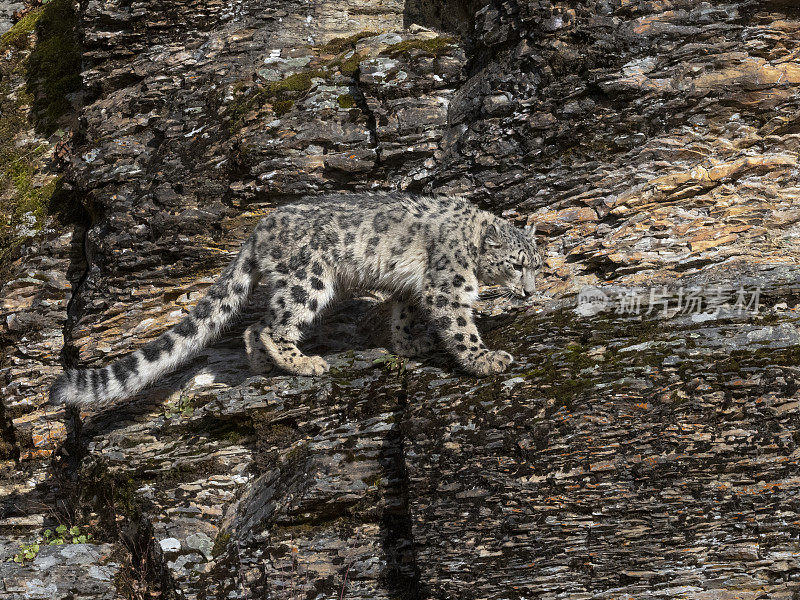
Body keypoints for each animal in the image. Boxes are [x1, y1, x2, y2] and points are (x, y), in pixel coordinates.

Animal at [50, 192, 544, 408]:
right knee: (271, 325)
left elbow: (402, 312)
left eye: (537, 265)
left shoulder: (410, 288)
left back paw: (266, 367)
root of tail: (257, 231)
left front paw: (410, 344)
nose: (531, 291)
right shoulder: (449, 285)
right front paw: (487, 360)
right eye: (516, 265)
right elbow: (460, 326)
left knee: (253, 326)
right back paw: (304, 363)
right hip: (309, 280)